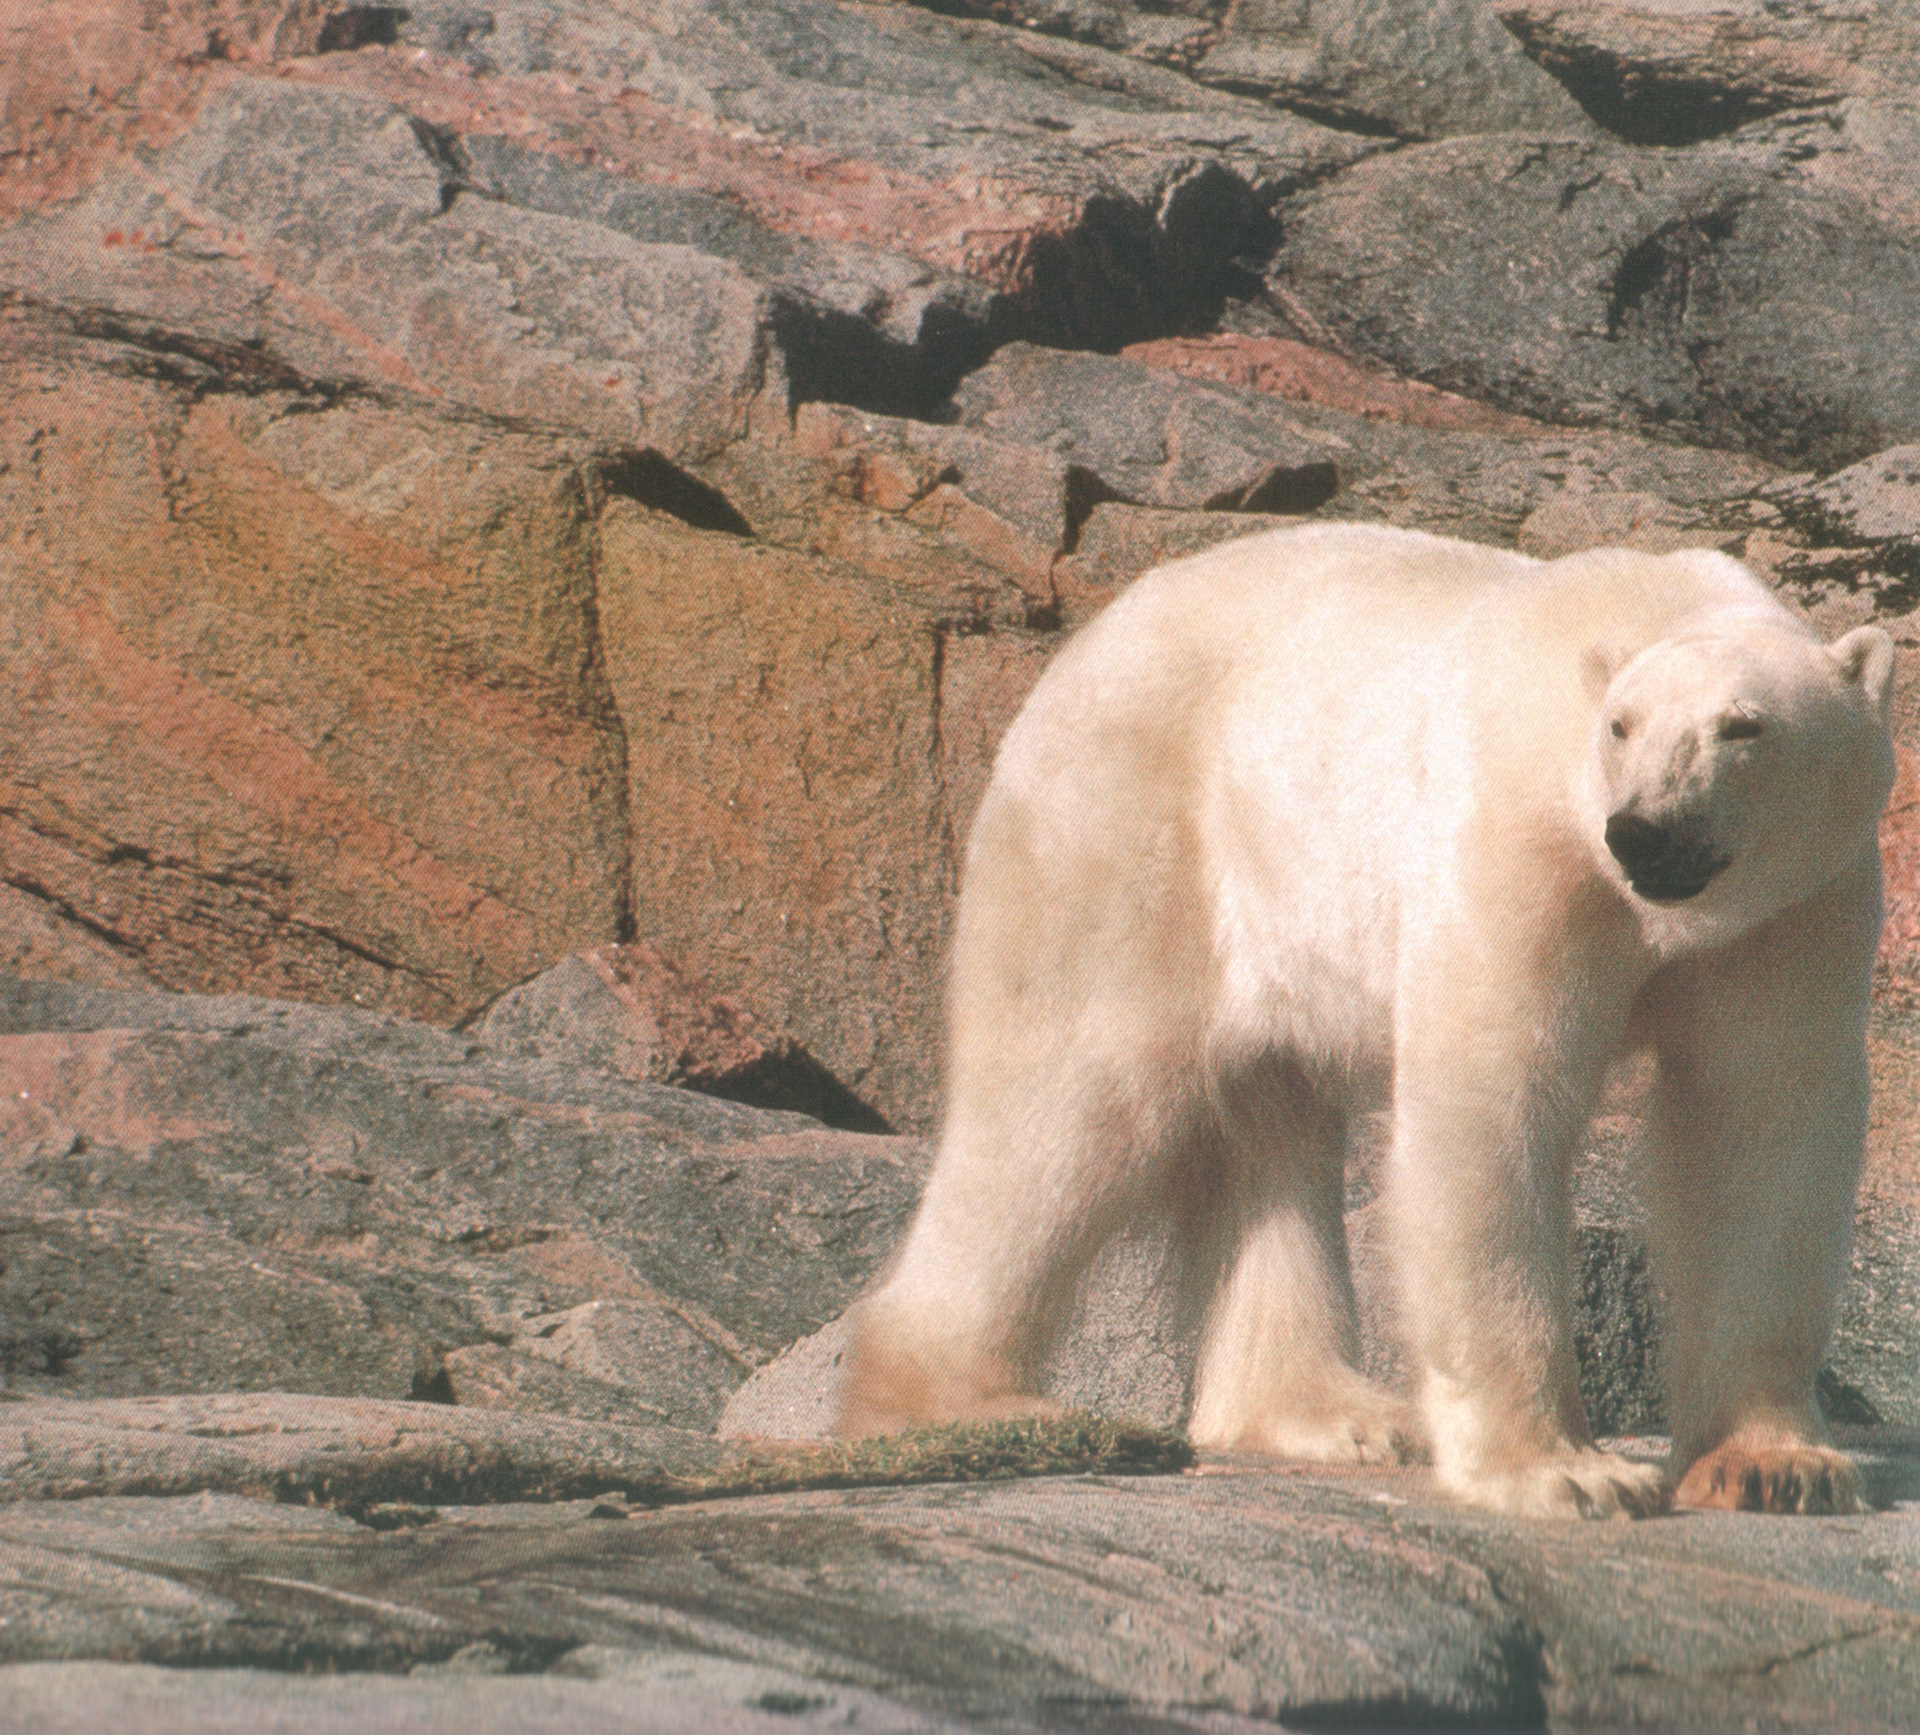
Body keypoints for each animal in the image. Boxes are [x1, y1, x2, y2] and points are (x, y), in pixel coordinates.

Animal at [848, 522, 1896, 1512]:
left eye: (1744, 727)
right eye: (1621, 727)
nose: (1645, 831)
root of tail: (1077, 652)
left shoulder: (1795, 911)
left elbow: (1761, 1129)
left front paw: (1773, 1465)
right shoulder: (1521, 848)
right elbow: (1492, 1102)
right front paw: (1565, 1473)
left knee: (1265, 1128)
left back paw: (1334, 1410)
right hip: (1127, 839)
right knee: (1074, 1099)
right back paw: (961, 1398)